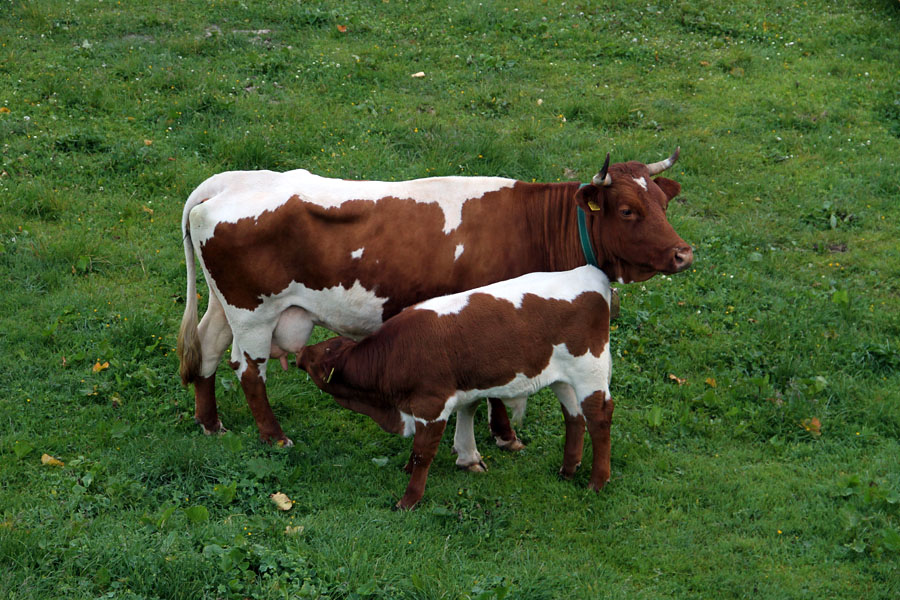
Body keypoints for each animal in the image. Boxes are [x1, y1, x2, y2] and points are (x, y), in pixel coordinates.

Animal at [178, 150, 696, 448]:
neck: (533, 226)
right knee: (248, 371)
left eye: (663, 204)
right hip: (253, 313)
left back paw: (210, 423)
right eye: (627, 210)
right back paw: (275, 437)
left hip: (226, 307)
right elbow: (496, 391)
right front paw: (504, 436)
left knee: (205, 351)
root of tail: (229, 181)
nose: (683, 253)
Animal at [298, 264, 616, 508]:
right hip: (563, 377)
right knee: (574, 417)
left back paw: (597, 482)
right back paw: (567, 470)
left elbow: (423, 452)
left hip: (590, 371)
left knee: (598, 418)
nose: (300, 352)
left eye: (318, 358)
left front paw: (409, 500)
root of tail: (588, 272)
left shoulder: (431, 404)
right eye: (325, 346)